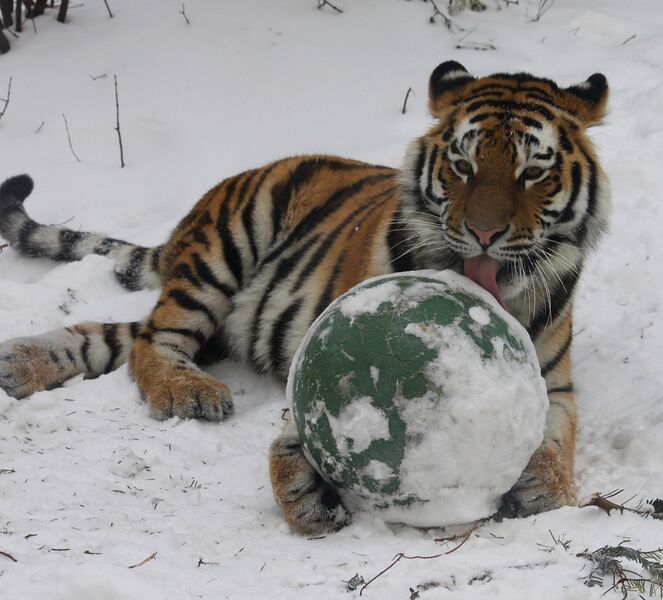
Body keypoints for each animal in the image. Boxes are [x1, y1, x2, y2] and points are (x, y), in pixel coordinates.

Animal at [0, 61, 610, 535]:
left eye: (532, 172)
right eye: (463, 166)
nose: (484, 233)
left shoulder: (554, 381)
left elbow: (557, 438)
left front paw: (545, 485)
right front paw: (300, 484)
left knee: (115, 337)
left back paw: (18, 364)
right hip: (223, 250)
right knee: (154, 339)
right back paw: (186, 391)